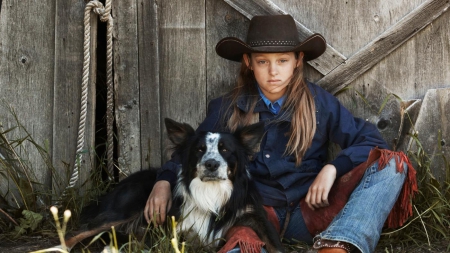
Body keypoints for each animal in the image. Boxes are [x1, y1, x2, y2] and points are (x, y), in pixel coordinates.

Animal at [65, 118, 284, 253]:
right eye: (199, 149)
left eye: (225, 149)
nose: (211, 164)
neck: (211, 192)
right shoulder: (172, 232)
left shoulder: (254, 215)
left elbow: (275, 244)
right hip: (123, 211)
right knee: (75, 232)